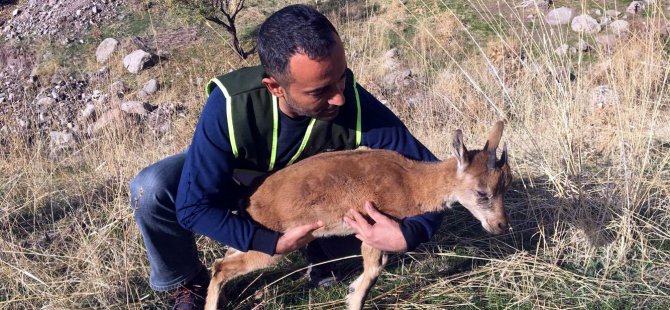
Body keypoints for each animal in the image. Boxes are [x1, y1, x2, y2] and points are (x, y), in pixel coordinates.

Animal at [205, 121, 516, 310]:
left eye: (506, 184)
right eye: (482, 193)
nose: (501, 225)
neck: (409, 181)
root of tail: (250, 199)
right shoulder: (370, 226)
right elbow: (375, 269)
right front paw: (353, 297)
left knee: (221, 260)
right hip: (272, 247)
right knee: (222, 267)